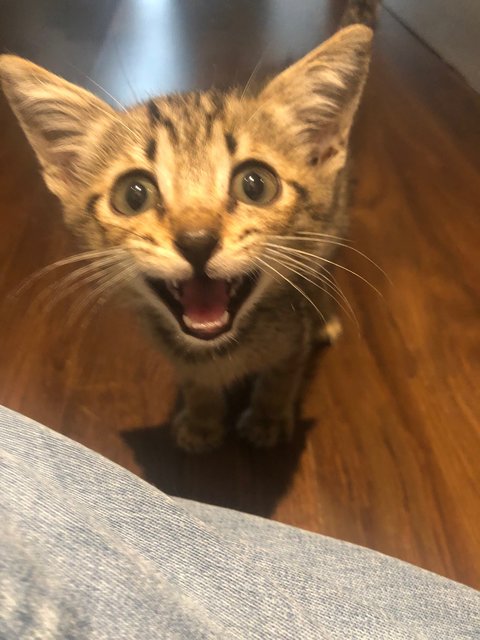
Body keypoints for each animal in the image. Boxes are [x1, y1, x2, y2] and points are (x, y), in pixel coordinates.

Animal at [0, 1, 378, 450]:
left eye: (256, 184)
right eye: (134, 195)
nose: (197, 241)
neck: (221, 350)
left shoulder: (292, 338)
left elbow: (282, 374)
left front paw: (267, 417)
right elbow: (195, 382)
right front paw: (202, 419)